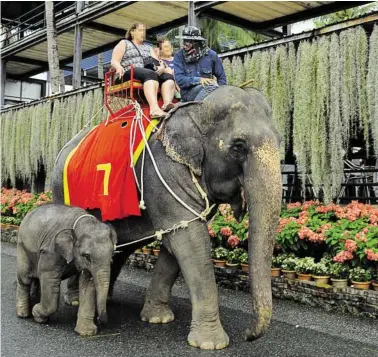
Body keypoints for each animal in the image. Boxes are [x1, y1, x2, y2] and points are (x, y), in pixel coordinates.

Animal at [15, 203, 116, 334]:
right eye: (87, 256)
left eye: (112, 256)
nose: (100, 320)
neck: (79, 221)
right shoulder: (50, 251)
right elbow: (50, 280)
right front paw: (37, 315)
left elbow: (88, 283)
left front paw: (86, 333)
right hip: (22, 246)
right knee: (25, 279)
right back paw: (23, 314)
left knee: (35, 278)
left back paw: (35, 299)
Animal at [51, 85, 280, 348]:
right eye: (238, 147)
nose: (248, 335)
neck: (196, 107)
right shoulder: (164, 170)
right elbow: (189, 242)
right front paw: (211, 344)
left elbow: (177, 241)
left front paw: (158, 318)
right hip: (62, 192)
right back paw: (76, 300)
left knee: (118, 246)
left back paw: (104, 298)